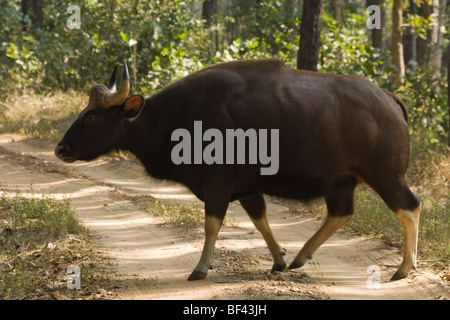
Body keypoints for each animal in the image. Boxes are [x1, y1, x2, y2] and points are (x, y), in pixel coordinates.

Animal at [54, 59, 420, 280]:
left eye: (91, 117)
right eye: (84, 111)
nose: (61, 149)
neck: (177, 118)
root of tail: (389, 99)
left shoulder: (218, 183)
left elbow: (211, 225)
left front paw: (201, 268)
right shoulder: (247, 188)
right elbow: (260, 221)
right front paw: (279, 260)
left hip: (386, 176)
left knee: (410, 207)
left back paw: (405, 267)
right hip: (342, 182)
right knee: (341, 213)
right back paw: (301, 256)